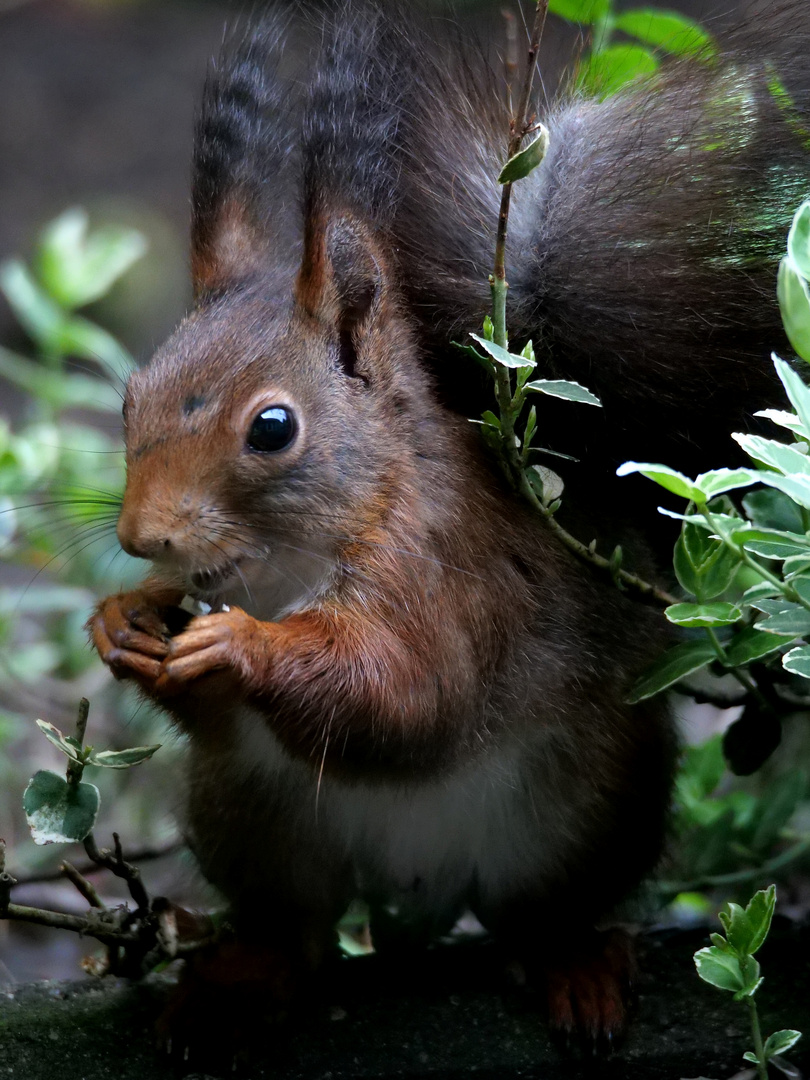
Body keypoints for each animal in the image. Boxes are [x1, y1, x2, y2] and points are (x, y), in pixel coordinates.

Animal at [88, 0, 810, 1058]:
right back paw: (240, 979)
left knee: (540, 913)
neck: (293, 562)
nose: (145, 539)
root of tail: (417, 891)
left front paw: (238, 646)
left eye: (273, 428)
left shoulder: (449, 575)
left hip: (589, 808)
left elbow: (408, 692)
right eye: (130, 396)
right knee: (294, 928)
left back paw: (575, 965)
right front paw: (123, 621)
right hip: (247, 818)